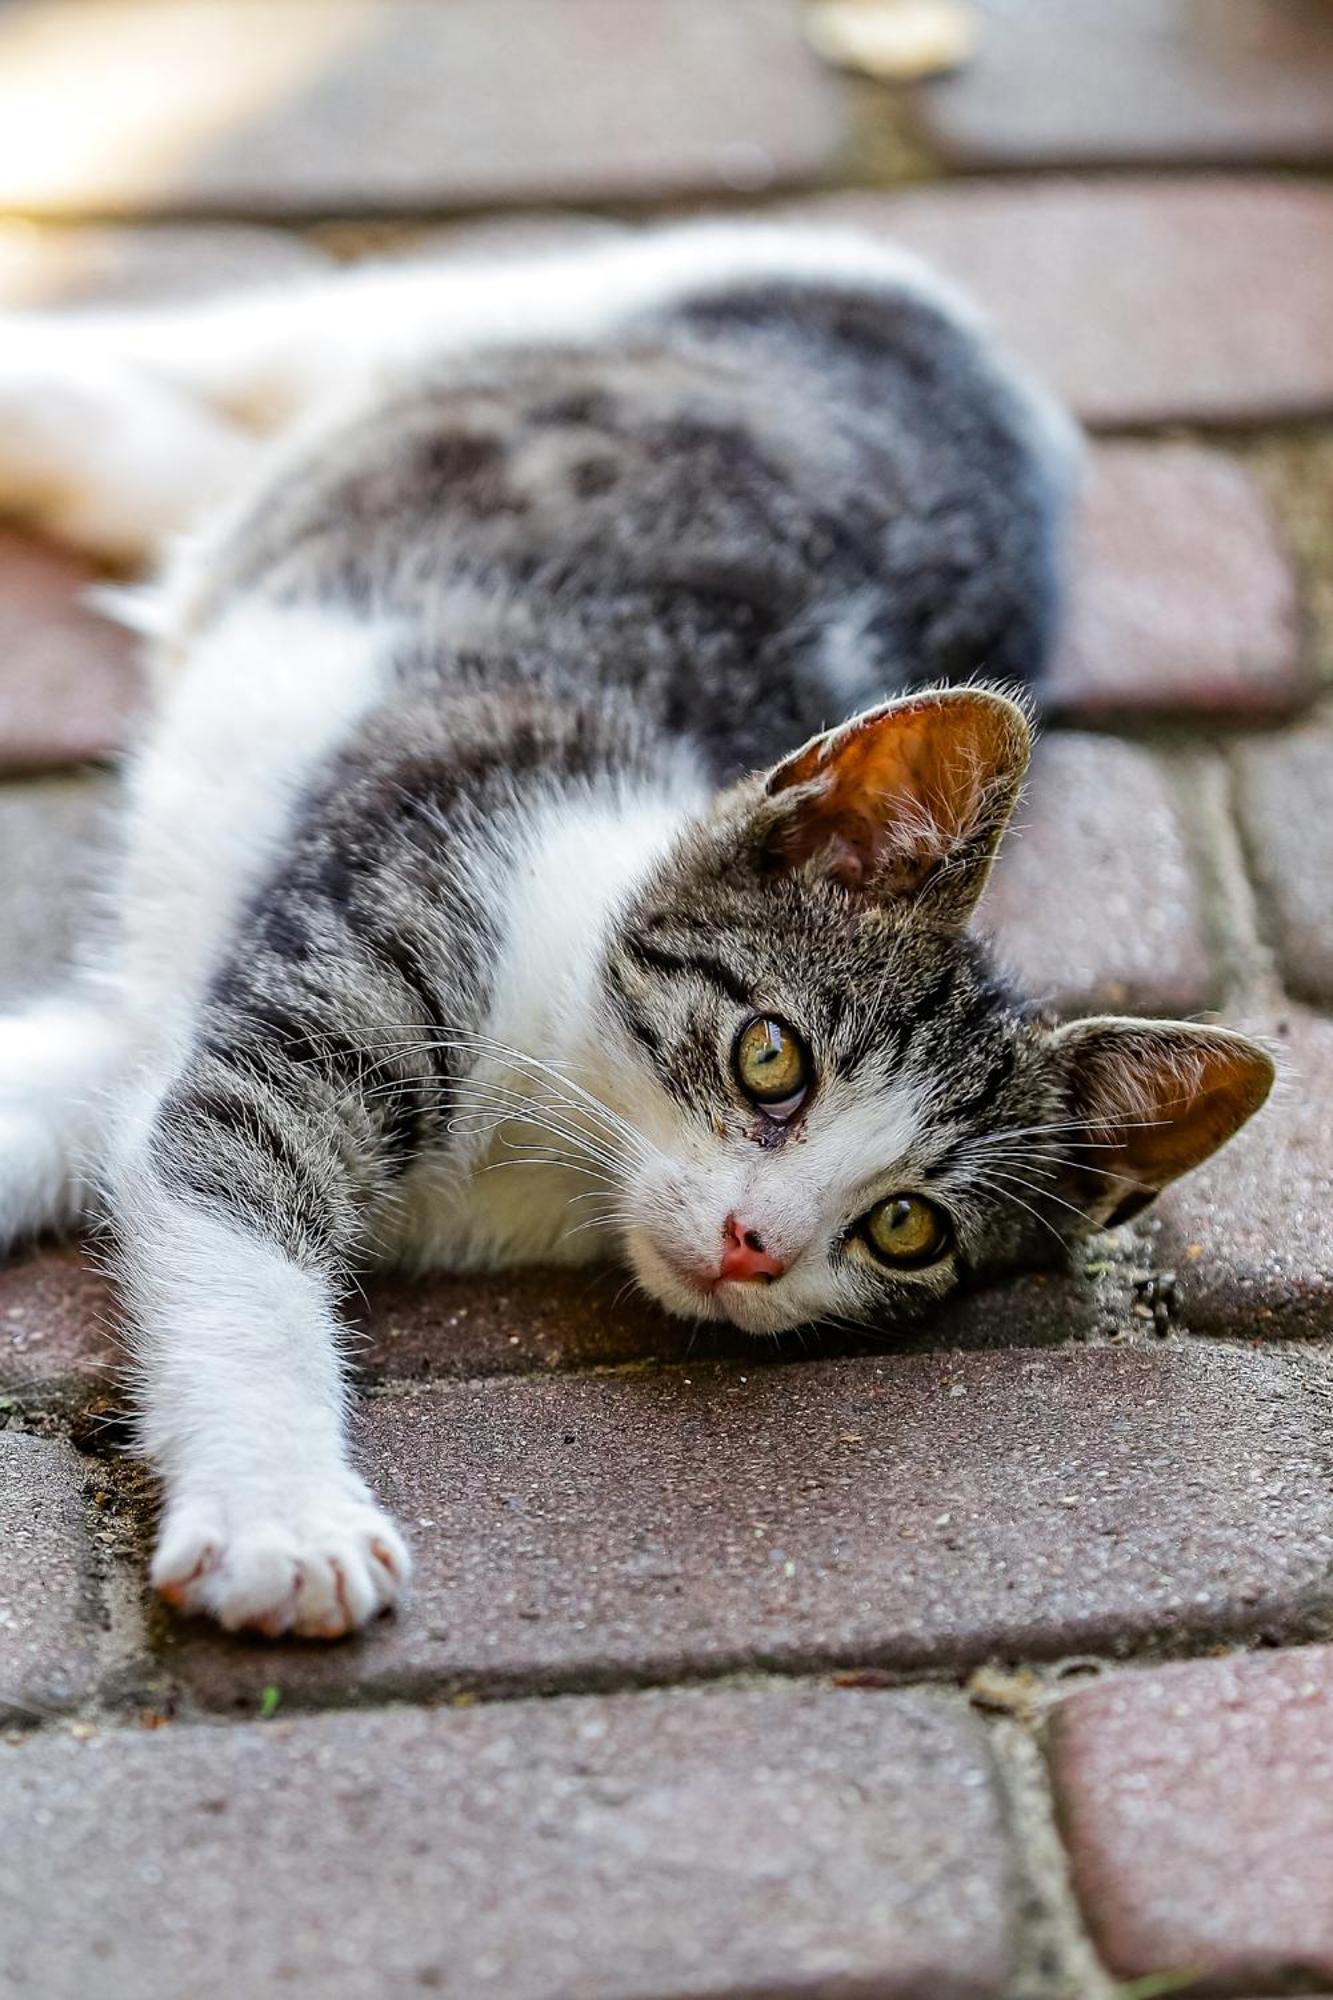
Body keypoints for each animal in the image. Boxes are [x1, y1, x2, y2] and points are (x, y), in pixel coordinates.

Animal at [0, 227, 1272, 1640]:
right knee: (252, 344)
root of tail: (987, 357)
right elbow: (233, 1193)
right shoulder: (366, 939)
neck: (555, 1121)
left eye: (906, 1226)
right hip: (538, 293)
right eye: (770, 1058)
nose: (756, 1244)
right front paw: (284, 1524)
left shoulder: (157, 1024)